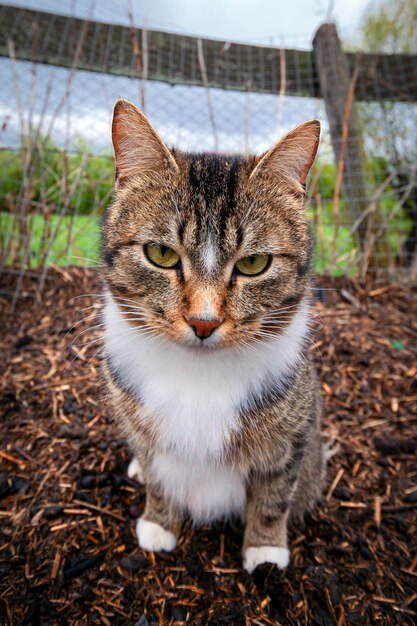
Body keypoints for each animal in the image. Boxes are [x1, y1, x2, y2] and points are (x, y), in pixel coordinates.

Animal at [101, 97, 324, 572]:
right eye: (161, 253)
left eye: (254, 264)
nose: (204, 323)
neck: (197, 376)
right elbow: (158, 475)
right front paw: (158, 523)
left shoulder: (294, 435)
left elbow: (275, 493)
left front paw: (265, 550)